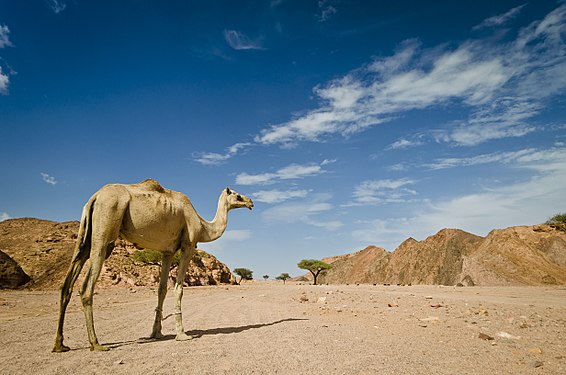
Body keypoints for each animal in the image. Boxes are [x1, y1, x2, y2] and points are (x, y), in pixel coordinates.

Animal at [52, 179, 253, 352]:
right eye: (237, 195)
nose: (251, 202)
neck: (203, 226)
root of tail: (94, 197)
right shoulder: (188, 245)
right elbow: (179, 288)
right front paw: (182, 334)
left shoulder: (167, 252)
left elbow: (162, 289)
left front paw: (156, 333)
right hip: (106, 223)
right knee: (86, 286)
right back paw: (96, 343)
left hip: (85, 235)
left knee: (67, 285)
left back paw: (60, 345)